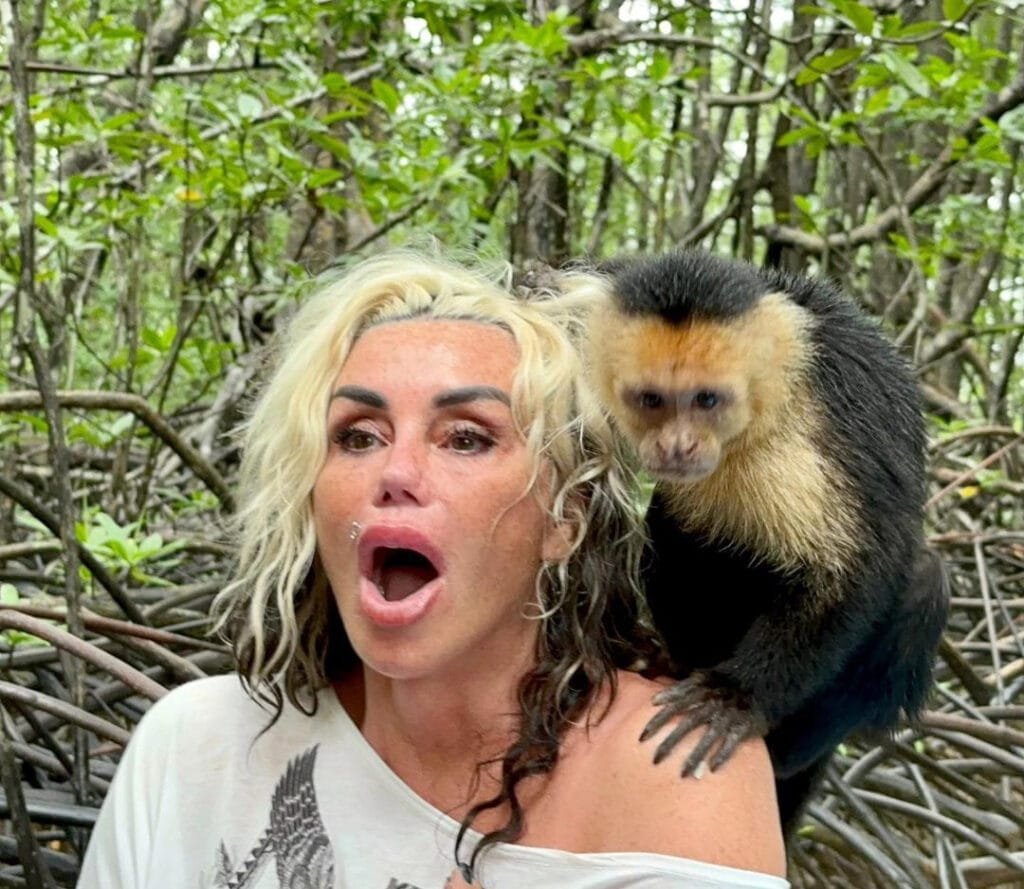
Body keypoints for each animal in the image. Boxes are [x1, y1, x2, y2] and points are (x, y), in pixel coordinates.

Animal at [576, 250, 949, 833]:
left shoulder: (808, 434)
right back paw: (676, 659)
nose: (677, 446)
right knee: (677, 514)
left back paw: (790, 747)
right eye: (652, 400)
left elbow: (854, 570)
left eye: (707, 400)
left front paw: (735, 696)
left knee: (924, 579)